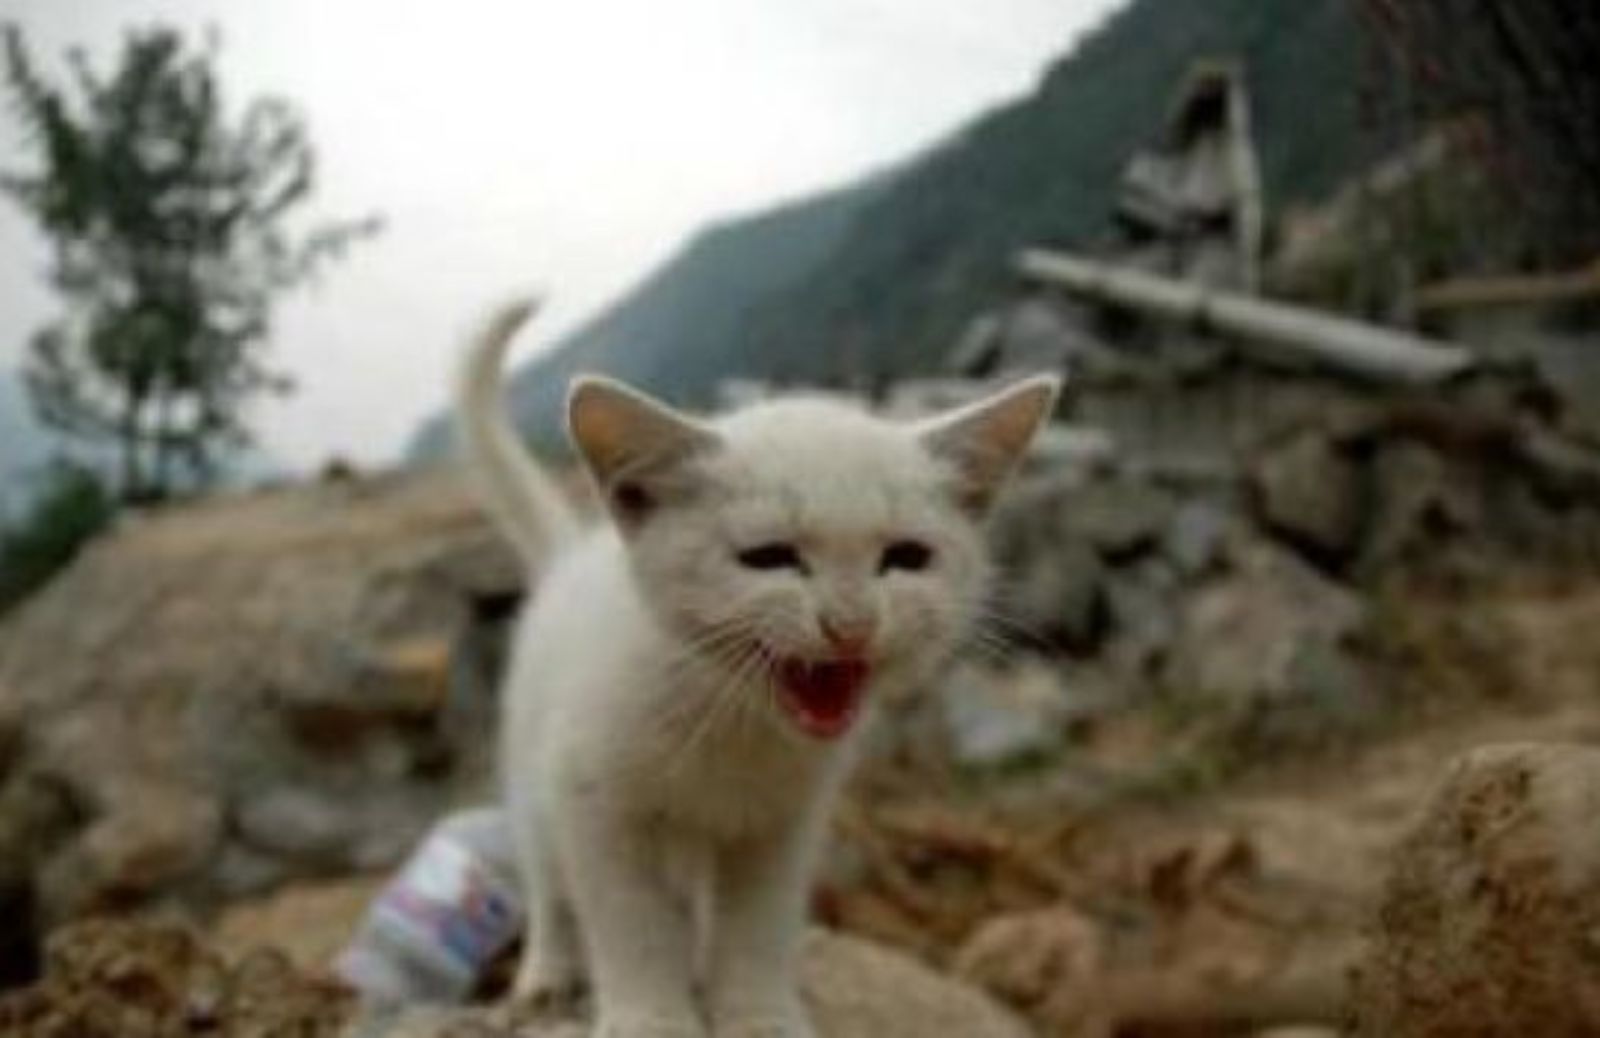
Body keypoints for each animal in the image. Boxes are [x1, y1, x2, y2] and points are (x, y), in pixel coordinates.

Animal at [457, 299, 1056, 1036]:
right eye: (770, 557)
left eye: (906, 557)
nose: (851, 623)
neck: (730, 722)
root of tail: (573, 553)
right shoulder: (593, 802)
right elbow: (630, 922)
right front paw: (653, 1017)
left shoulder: (781, 824)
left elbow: (755, 927)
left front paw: (756, 1012)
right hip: (529, 769)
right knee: (546, 884)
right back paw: (546, 973)